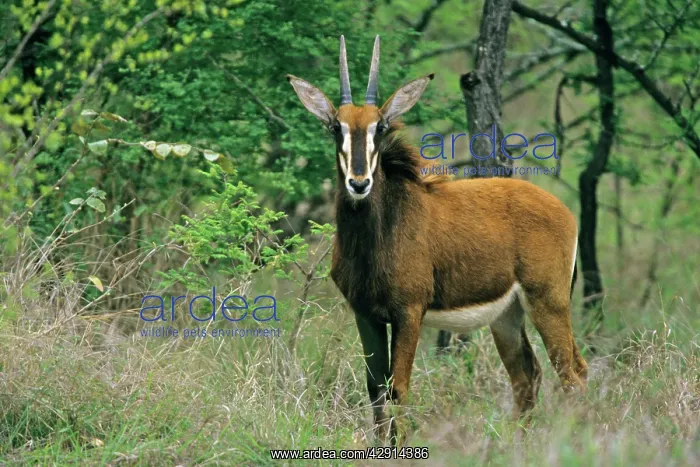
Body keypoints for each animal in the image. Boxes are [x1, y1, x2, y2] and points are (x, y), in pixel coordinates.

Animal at [287, 35, 587, 445]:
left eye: (380, 127)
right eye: (336, 127)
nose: (359, 183)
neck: (380, 234)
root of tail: (565, 212)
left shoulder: (409, 311)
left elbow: (398, 388)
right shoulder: (365, 313)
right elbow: (375, 387)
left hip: (548, 301)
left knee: (571, 375)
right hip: (507, 316)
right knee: (529, 376)